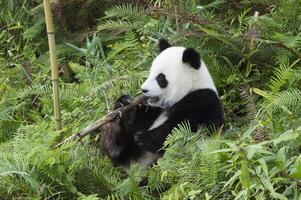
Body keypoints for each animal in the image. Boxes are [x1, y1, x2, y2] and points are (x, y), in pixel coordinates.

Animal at [98, 38, 223, 167]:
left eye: (160, 78)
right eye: (150, 73)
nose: (143, 89)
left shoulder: (203, 101)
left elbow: (181, 127)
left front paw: (143, 138)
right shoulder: (152, 112)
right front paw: (125, 103)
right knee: (114, 146)